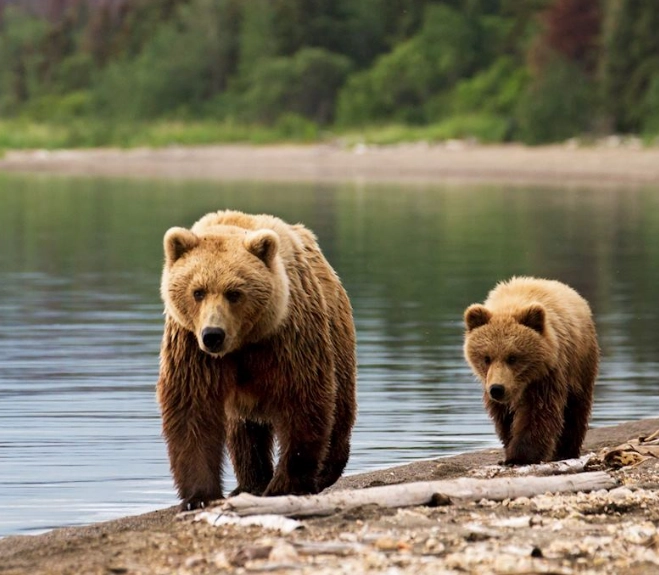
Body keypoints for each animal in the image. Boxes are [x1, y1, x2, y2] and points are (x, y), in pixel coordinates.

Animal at [156, 209, 357, 510]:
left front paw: (286, 485)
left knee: (339, 408)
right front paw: (199, 496)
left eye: (234, 292)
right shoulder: (192, 348)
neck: (243, 343)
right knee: (243, 432)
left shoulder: (286, 339)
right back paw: (249, 483)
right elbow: (192, 410)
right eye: (198, 291)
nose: (213, 335)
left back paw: (325, 470)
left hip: (337, 337)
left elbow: (303, 400)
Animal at [463, 276, 599, 465]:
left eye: (513, 357)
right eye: (486, 358)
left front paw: (520, 455)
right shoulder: (492, 383)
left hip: (580, 365)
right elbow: (504, 417)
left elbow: (538, 412)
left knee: (576, 408)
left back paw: (565, 451)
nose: (497, 389)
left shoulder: (546, 375)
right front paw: (510, 446)